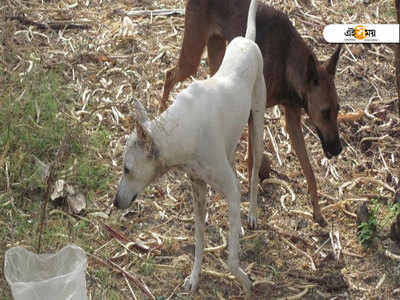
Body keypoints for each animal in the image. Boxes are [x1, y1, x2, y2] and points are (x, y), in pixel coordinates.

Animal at [114, 0, 266, 292]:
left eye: (127, 170)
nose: (115, 203)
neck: (182, 130)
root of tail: (247, 40)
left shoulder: (229, 189)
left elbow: (231, 259)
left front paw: (244, 281)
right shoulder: (198, 188)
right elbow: (199, 240)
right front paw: (195, 277)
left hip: (258, 124)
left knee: (252, 175)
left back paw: (251, 213)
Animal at [161, 0, 342, 226]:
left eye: (338, 110)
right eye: (325, 112)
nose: (338, 149)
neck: (287, 59)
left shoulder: (292, 120)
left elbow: (309, 171)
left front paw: (317, 212)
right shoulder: (253, 114)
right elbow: (252, 160)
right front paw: (250, 201)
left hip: (217, 54)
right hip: (192, 58)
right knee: (169, 75)